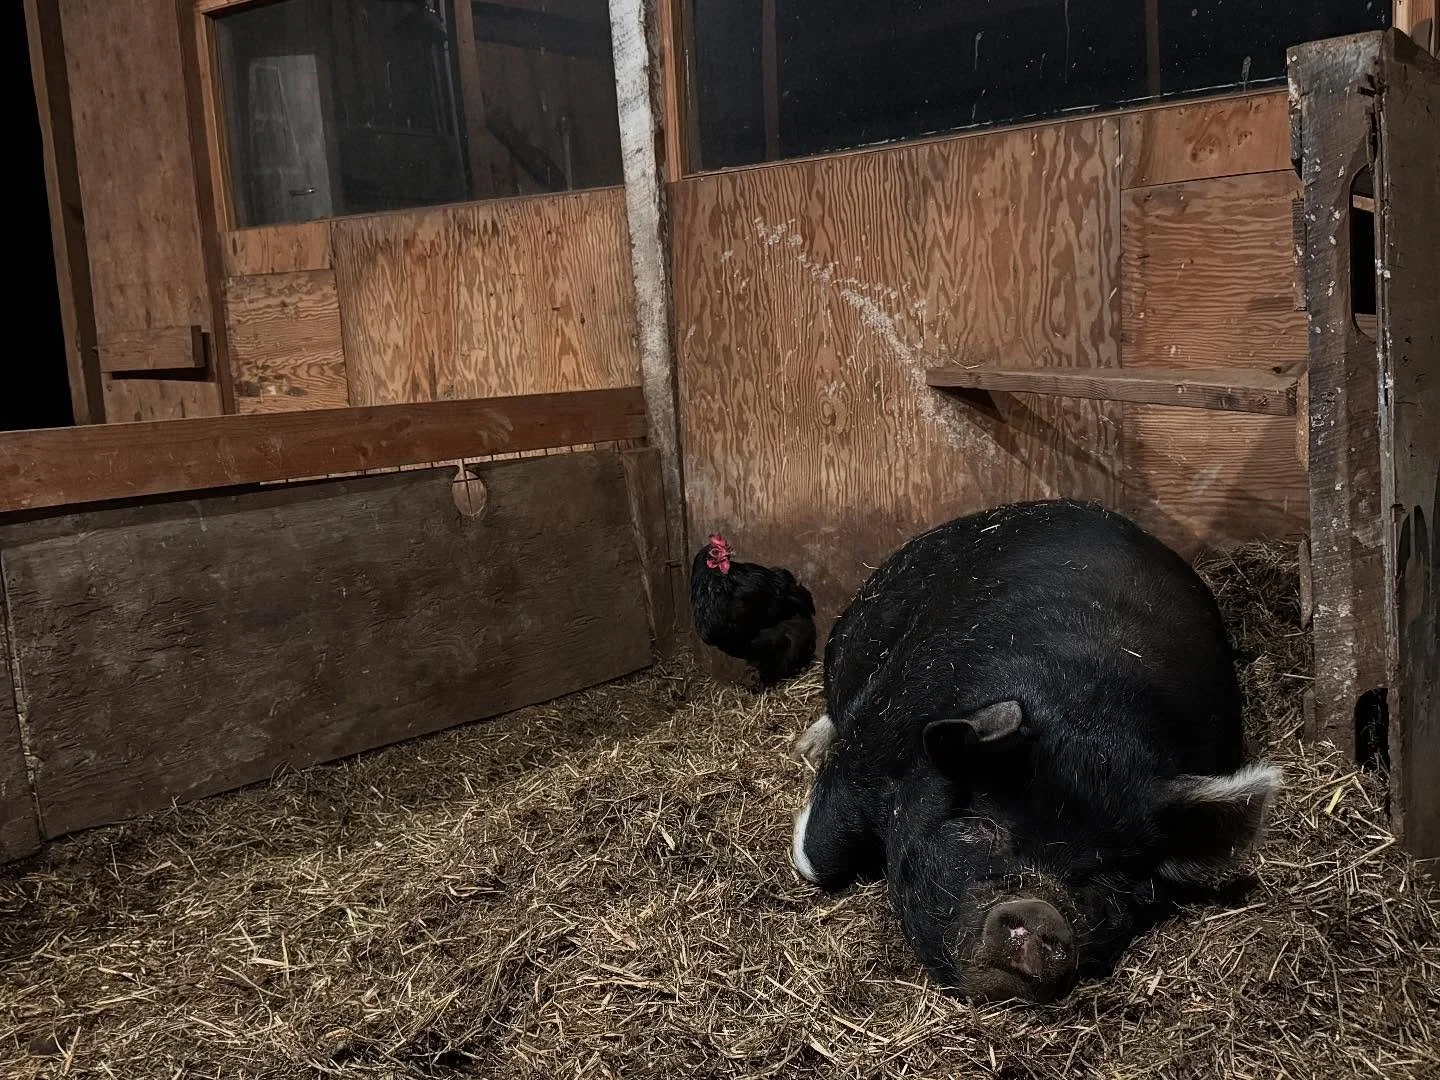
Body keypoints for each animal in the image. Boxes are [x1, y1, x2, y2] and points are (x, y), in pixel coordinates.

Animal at [790, 499, 1280, 1004]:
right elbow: (820, 855)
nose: (1039, 911)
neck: (1094, 719)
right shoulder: (875, 737)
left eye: (1107, 877)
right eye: (984, 827)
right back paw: (806, 743)